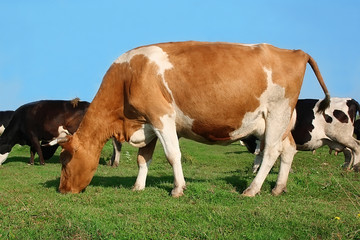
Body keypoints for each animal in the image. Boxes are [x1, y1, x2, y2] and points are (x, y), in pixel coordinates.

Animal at [54, 41, 330, 197]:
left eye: (65, 162)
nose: (62, 190)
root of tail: (295, 52)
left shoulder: (162, 116)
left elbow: (172, 155)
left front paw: (178, 189)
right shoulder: (147, 123)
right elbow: (144, 158)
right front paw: (138, 187)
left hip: (277, 112)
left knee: (271, 151)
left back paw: (252, 190)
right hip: (274, 121)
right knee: (288, 149)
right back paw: (278, 188)